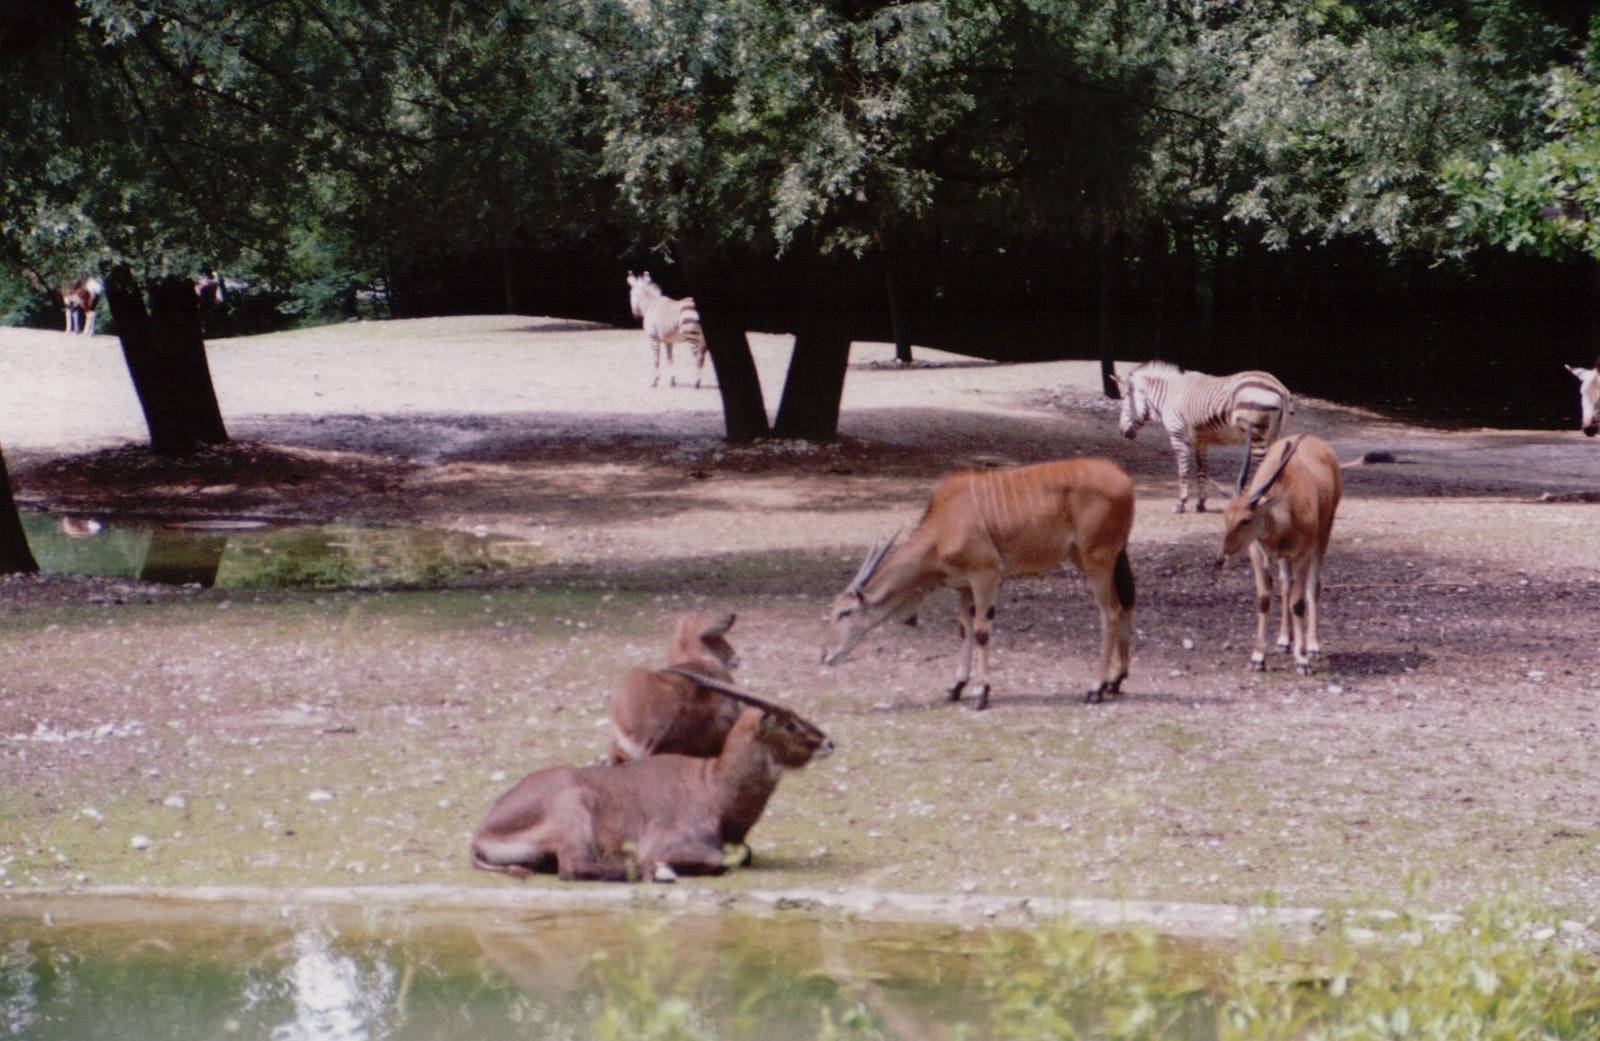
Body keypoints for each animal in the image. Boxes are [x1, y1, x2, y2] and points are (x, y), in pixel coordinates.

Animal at [1112, 361, 1293, 513]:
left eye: (1125, 400)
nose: (1121, 431)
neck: (1169, 395)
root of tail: (1280, 388)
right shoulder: (1201, 439)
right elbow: (1202, 469)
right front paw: (1201, 503)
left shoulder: (1178, 435)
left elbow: (1183, 470)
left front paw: (1181, 503)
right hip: (1275, 435)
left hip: (1258, 435)